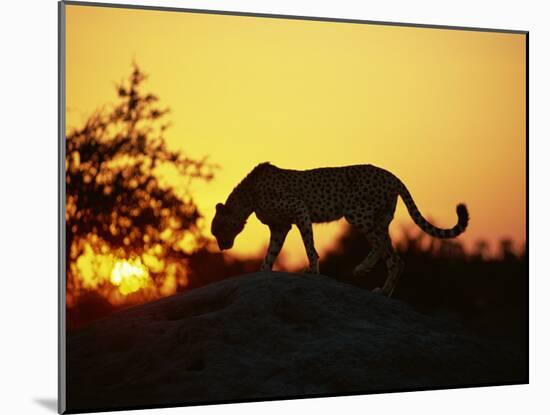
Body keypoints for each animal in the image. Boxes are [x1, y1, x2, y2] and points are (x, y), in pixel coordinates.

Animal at [211, 162, 470, 296]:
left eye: (217, 229)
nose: (222, 247)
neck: (248, 197)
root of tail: (390, 174)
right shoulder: (280, 227)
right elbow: (270, 254)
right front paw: (263, 271)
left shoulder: (299, 209)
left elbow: (309, 245)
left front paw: (312, 270)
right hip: (379, 219)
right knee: (392, 254)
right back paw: (382, 289)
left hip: (357, 213)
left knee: (384, 248)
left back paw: (366, 273)